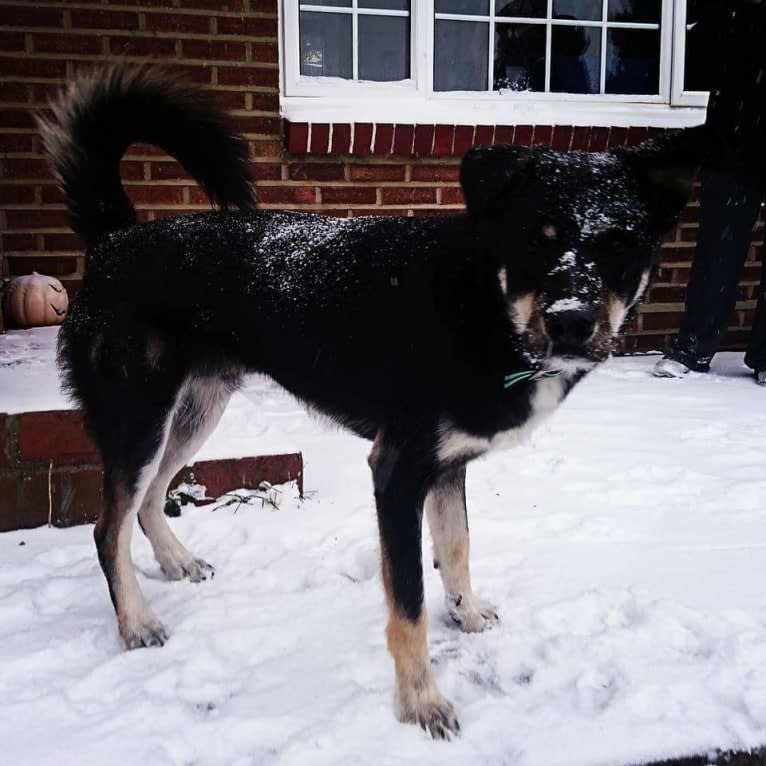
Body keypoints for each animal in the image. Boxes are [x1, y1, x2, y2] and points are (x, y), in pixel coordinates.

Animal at [39, 69, 704, 740]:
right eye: (533, 243)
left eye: (619, 246)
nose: (571, 323)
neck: (478, 302)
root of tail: (115, 236)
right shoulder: (397, 471)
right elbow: (409, 603)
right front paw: (421, 704)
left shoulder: (447, 465)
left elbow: (456, 549)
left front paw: (467, 615)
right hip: (140, 417)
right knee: (108, 526)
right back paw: (136, 622)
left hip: (195, 412)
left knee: (151, 497)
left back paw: (176, 563)